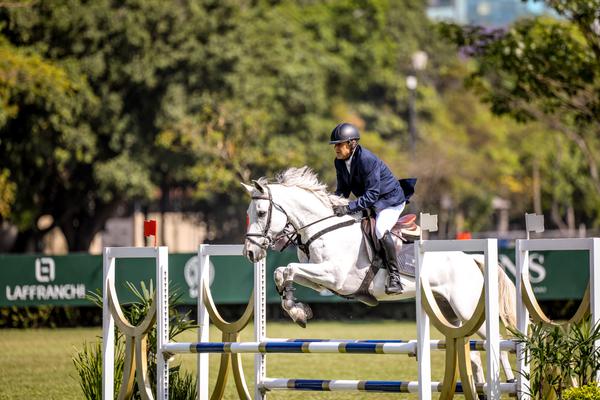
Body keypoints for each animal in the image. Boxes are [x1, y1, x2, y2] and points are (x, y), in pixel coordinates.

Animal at [239, 166, 516, 388]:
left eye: (261, 212)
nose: (251, 253)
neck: (322, 228)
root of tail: (471, 259)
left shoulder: (334, 276)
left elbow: (289, 269)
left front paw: (297, 311)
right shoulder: (321, 280)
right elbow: (282, 272)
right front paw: (297, 310)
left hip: (467, 310)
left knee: (499, 345)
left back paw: (509, 382)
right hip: (449, 313)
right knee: (473, 352)